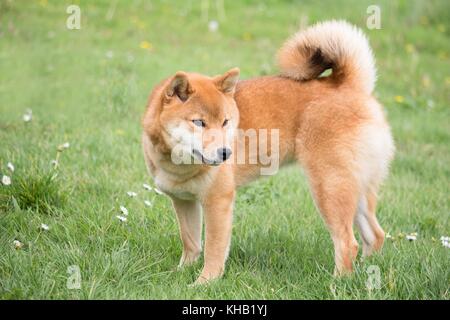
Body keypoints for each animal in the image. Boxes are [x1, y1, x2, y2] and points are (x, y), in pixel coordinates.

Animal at [141, 20, 394, 284]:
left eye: (225, 122)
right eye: (199, 122)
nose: (226, 153)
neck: (179, 165)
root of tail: (348, 85)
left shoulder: (218, 201)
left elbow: (213, 249)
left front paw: (204, 283)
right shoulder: (183, 201)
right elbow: (190, 242)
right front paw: (180, 273)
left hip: (329, 187)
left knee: (347, 243)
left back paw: (337, 282)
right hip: (356, 187)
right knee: (375, 235)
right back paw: (366, 272)